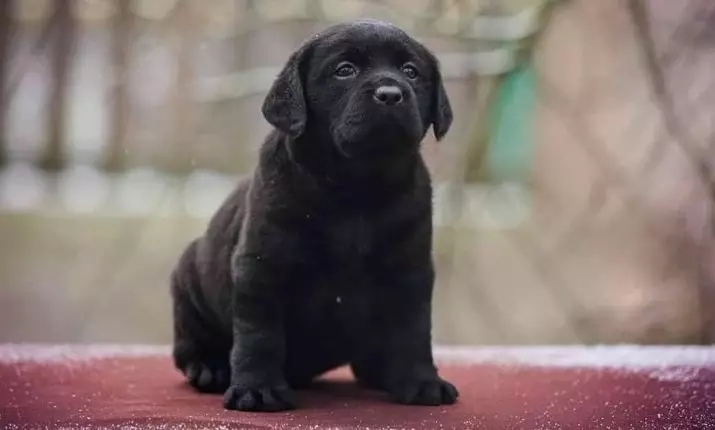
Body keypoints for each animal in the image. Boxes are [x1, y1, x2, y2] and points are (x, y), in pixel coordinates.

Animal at [171, 18, 456, 412]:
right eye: (344, 70)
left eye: (411, 72)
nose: (390, 93)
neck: (356, 189)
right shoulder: (261, 268)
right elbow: (259, 335)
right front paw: (257, 389)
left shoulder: (409, 271)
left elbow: (413, 331)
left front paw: (422, 382)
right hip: (188, 282)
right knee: (190, 344)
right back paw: (209, 369)